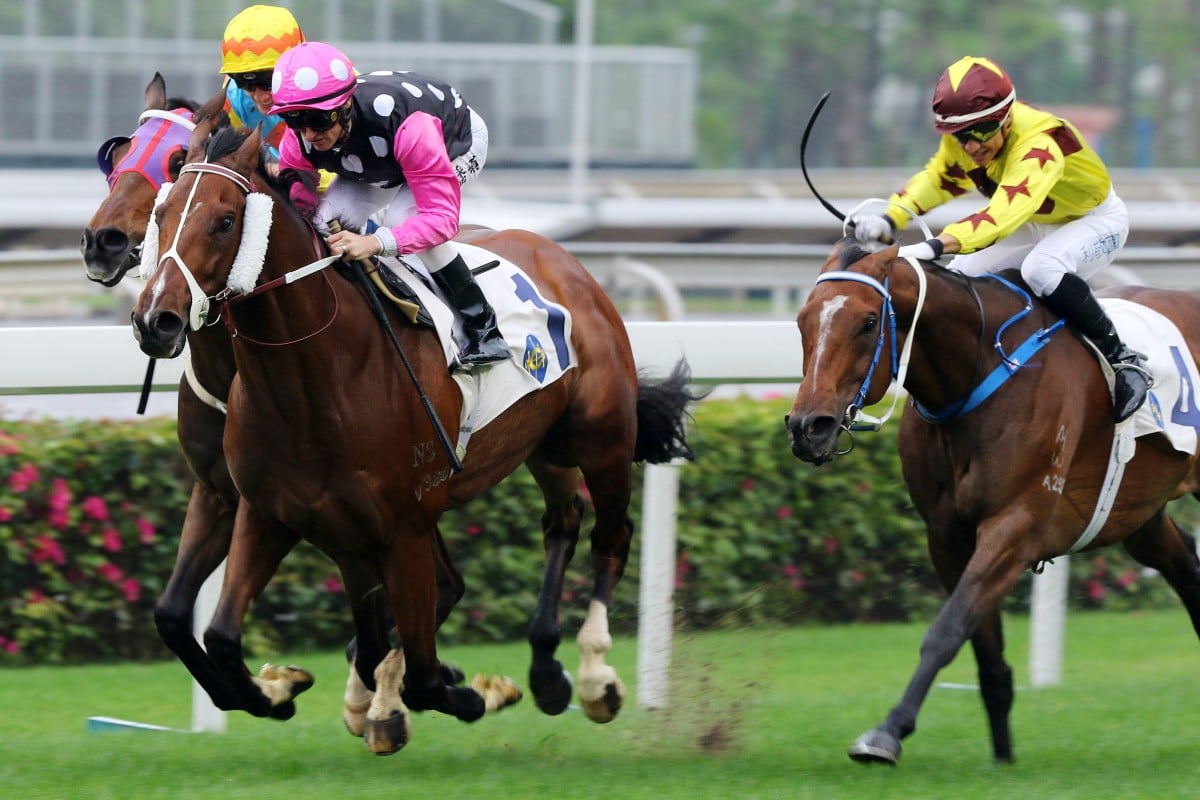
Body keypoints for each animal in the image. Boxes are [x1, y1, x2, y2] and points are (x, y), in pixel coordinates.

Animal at [129, 123, 696, 753]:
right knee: (562, 520)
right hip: (541, 446)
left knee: (611, 534)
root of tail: (567, 263)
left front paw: (468, 692)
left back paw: (594, 676)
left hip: (602, 437)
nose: (155, 319)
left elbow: (424, 671)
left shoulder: (404, 527)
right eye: (160, 215)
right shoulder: (269, 510)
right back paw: (545, 669)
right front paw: (283, 688)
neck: (317, 377)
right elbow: (220, 636)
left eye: (225, 221)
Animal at [782, 241, 1200, 767]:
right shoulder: (946, 536)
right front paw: (1003, 755)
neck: (976, 378)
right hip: (1138, 513)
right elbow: (983, 647)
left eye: (868, 322)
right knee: (1184, 564)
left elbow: (946, 631)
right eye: (803, 321)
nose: (808, 427)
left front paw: (886, 733)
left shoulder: (1016, 527)